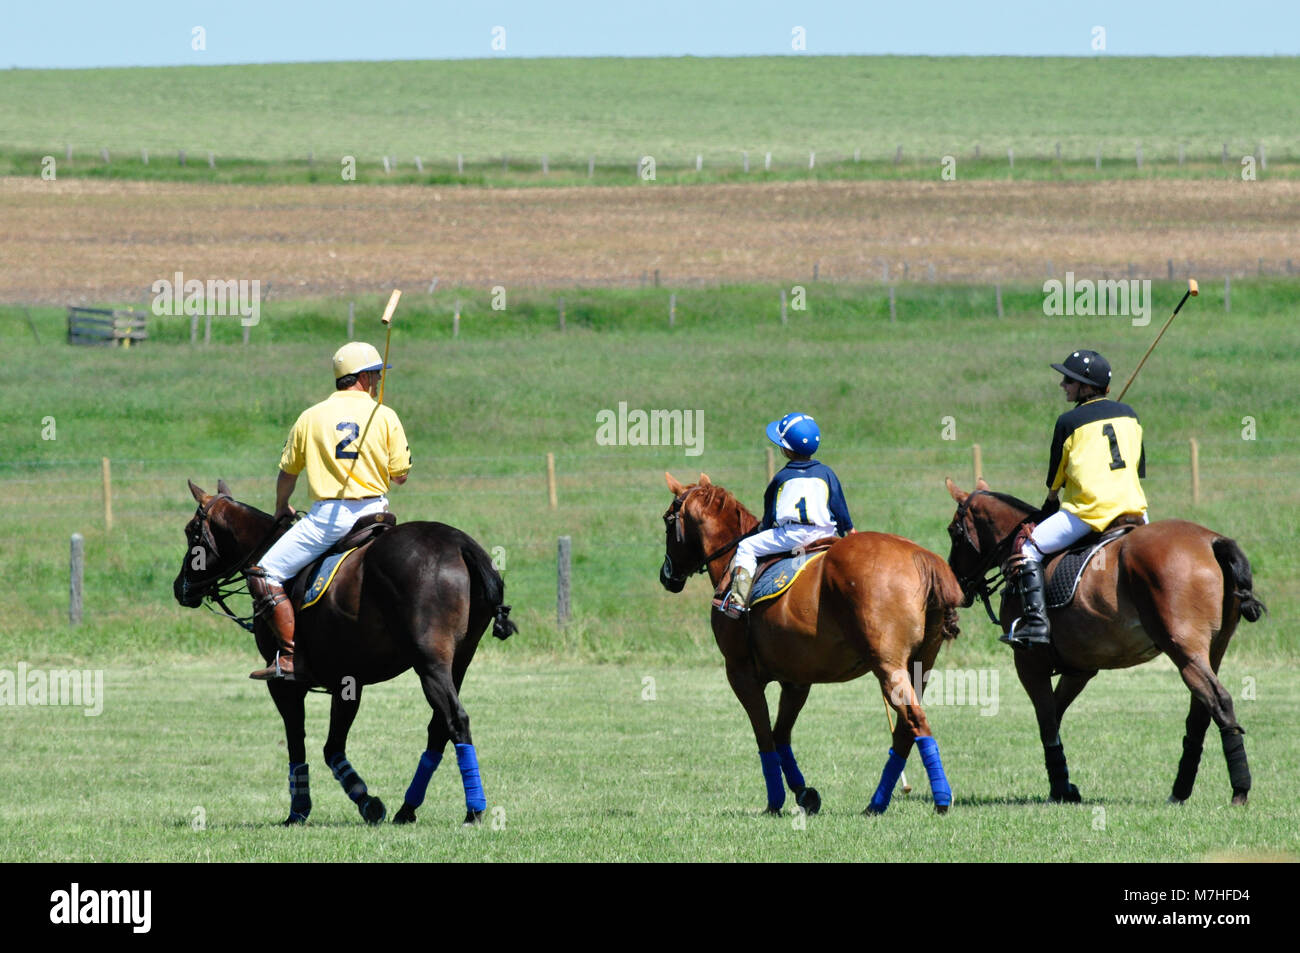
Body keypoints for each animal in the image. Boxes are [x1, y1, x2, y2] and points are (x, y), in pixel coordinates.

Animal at [172, 478, 517, 821]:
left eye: (191, 531)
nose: (179, 588)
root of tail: (460, 543)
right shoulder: (347, 680)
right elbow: (332, 747)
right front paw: (367, 802)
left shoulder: (283, 684)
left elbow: (298, 744)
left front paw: (299, 811)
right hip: (459, 660)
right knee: (439, 727)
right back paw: (407, 809)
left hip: (430, 663)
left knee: (456, 720)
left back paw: (473, 811)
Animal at [660, 473, 967, 816]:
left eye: (667, 521)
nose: (666, 576)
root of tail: (921, 557)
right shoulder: (796, 680)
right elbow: (780, 734)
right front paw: (804, 793)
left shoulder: (740, 673)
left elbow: (765, 737)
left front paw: (776, 801)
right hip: (920, 666)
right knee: (905, 730)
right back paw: (876, 803)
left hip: (888, 666)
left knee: (915, 722)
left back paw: (940, 799)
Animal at [941, 475, 1263, 800]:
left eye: (953, 531)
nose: (957, 587)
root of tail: (1213, 541)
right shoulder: (1080, 668)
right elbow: (1055, 715)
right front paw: (1065, 785)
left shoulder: (1029, 663)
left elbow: (1047, 721)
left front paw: (1060, 789)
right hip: (1214, 649)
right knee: (1201, 711)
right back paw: (1181, 790)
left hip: (1183, 649)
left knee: (1218, 701)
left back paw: (1239, 789)